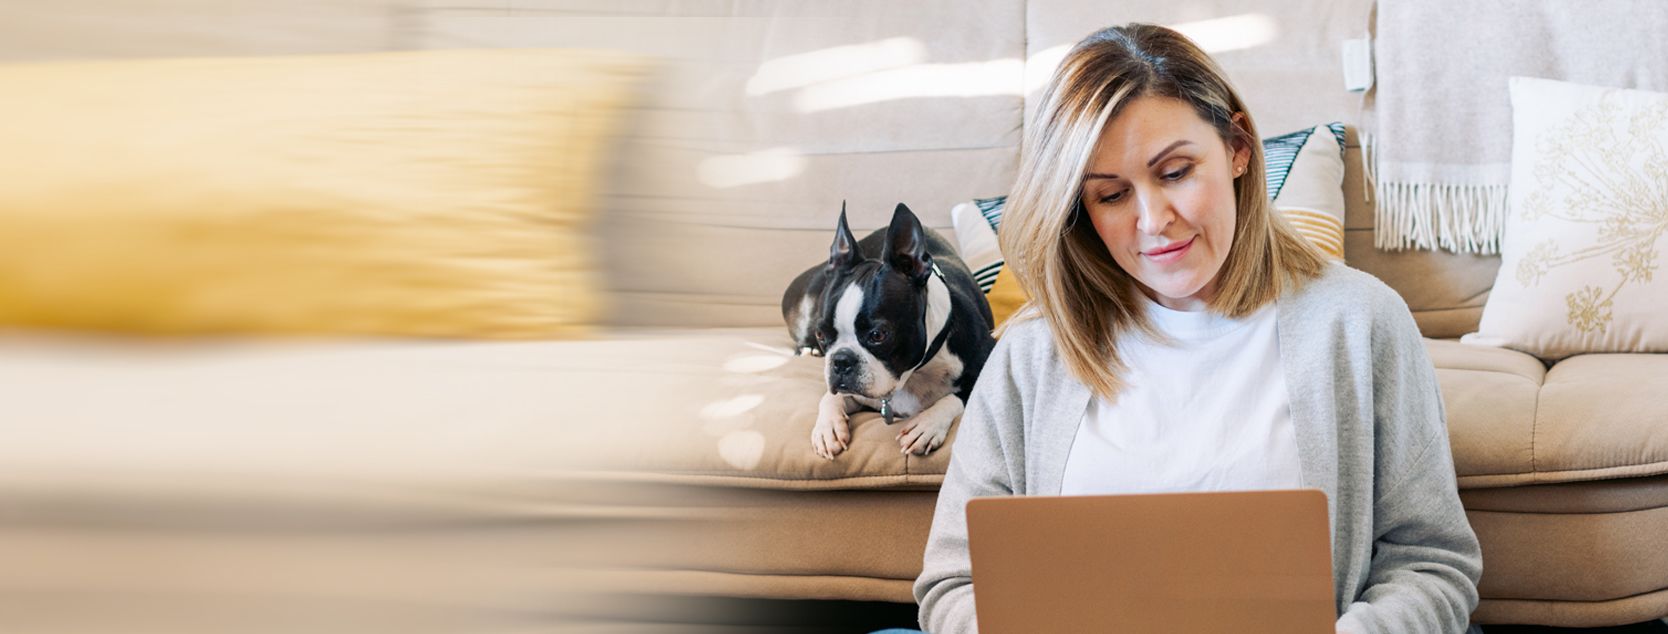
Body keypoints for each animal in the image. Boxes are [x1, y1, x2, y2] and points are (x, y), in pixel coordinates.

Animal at [780, 204, 987, 460]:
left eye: (878, 335)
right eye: (821, 335)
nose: (840, 361)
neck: (914, 374)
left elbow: (955, 397)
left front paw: (926, 425)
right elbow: (830, 397)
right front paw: (827, 428)